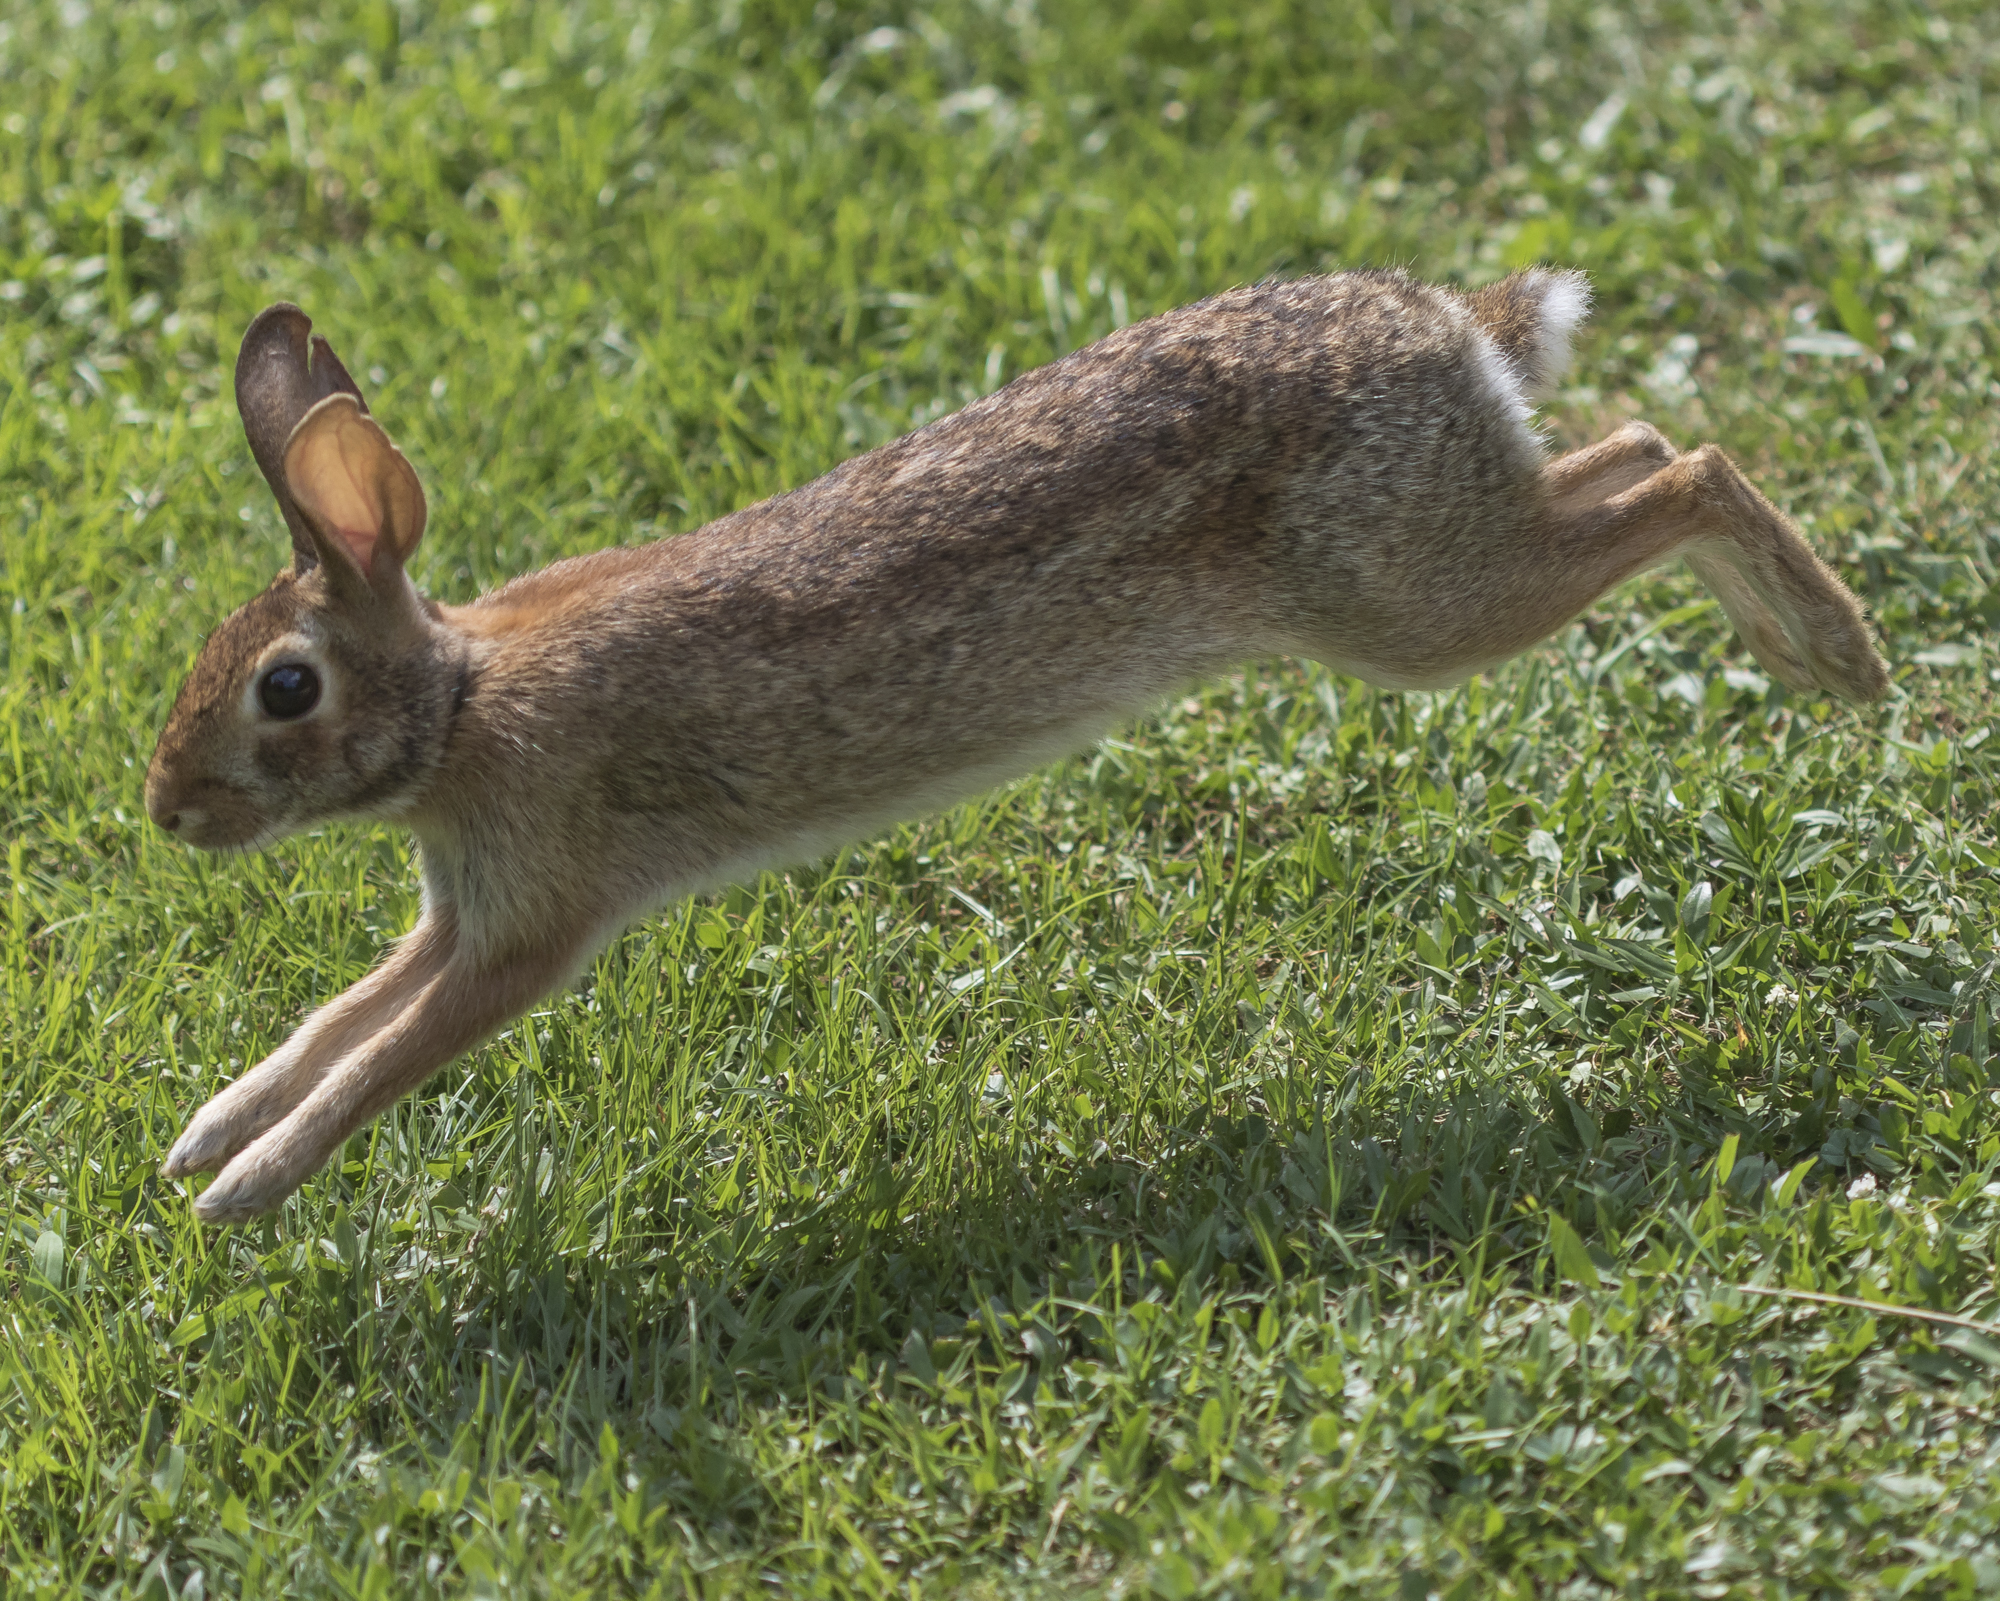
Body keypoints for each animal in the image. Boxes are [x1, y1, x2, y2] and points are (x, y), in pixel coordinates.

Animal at [146, 267, 1889, 1222]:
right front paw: (203, 1135)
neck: (458, 705)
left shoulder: (530, 925)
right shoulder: (459, 910)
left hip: (1414, 602)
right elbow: (333, 1019)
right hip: (1455, 542)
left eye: (283, 691)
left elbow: (384, 1060)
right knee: (1642, 445)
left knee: (1692, 465)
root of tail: (1450, 328)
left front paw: (243, 1191)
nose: (167, 813)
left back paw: (1840, 656)